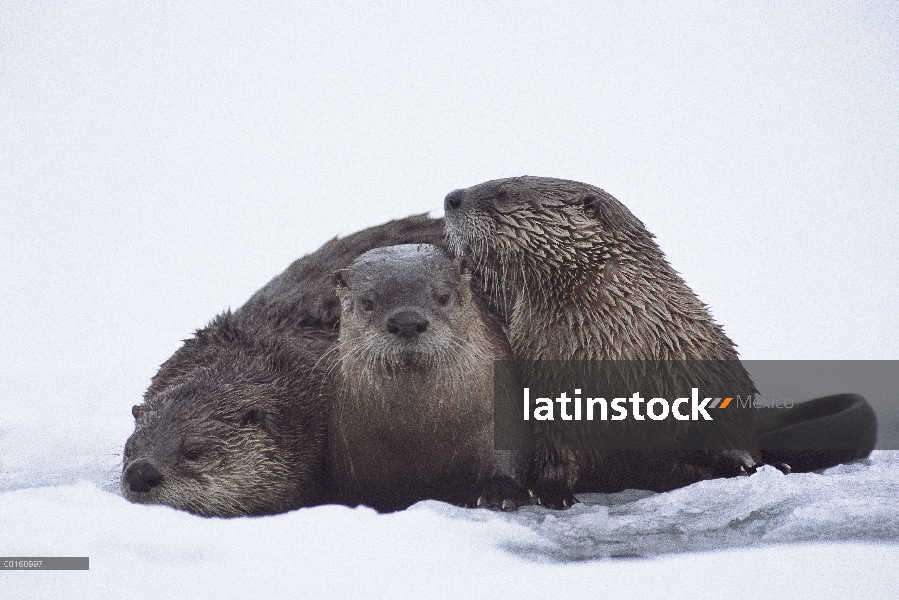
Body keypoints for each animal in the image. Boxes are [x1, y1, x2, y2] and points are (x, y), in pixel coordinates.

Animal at [328, 243, 528, 510]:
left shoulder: (502, 411)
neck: (420, 435)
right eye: (368, 302)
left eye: (443, 297)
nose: (407, 321)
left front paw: (499, 491)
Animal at [442, 177, 768, 506]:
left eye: (504, 194)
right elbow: (552, 454)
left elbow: (728, 426)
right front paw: (550, 492)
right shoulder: (545, 398)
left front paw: (749, 465)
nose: (451, 198)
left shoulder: (709, 367)